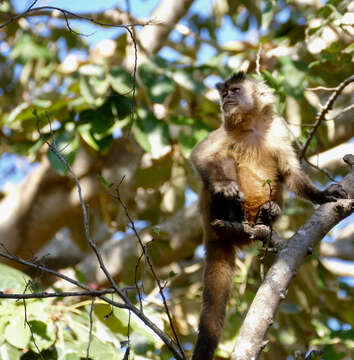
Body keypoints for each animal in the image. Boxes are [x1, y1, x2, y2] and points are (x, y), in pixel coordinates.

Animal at [189, 71, 348, 358]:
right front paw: (224, 186)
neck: (251, 127)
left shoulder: (277, 131)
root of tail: (212, 230)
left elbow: (289, 172)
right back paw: (233, 212)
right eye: (224, 93)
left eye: (234, 91)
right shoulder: (225, 131)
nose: (226, 99)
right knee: (223, 158)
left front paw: (322, 195)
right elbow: (201, 156)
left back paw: (267, 215)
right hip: (210, 213)